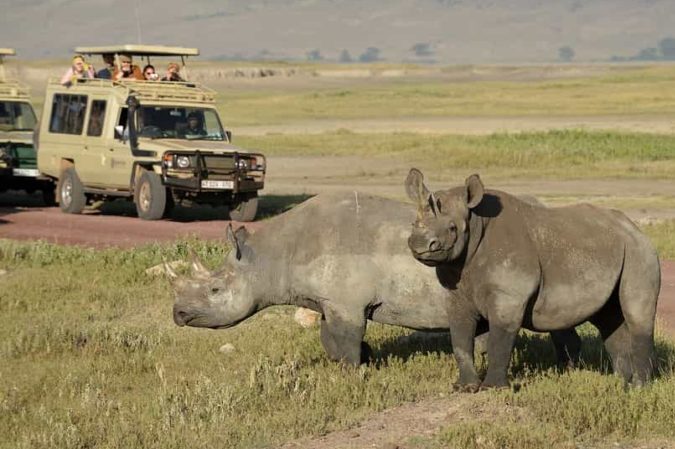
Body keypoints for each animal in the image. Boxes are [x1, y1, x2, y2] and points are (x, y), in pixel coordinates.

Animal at [171, 193, 580, 367]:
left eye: (215, 289)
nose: (177, 315)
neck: (269, 258)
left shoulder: (347, 302)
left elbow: (347, 339)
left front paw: (353, 371)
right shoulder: (330, 301)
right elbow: (330, 338)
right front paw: (359, 362)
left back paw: (568, 366)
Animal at [405, 169, 660, 389]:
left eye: (452, 228)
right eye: (413, 224)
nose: (419, 244)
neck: (476, 223)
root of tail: (635, 229)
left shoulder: (510, 296)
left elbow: (500, 338)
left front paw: (493, 389)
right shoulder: (456, 291)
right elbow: (459, 338)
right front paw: (464, 387)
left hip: (639, 251)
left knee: (637, 314)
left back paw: (638, 388)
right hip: (612, 251)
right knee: (607, 318)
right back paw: (620, 382)